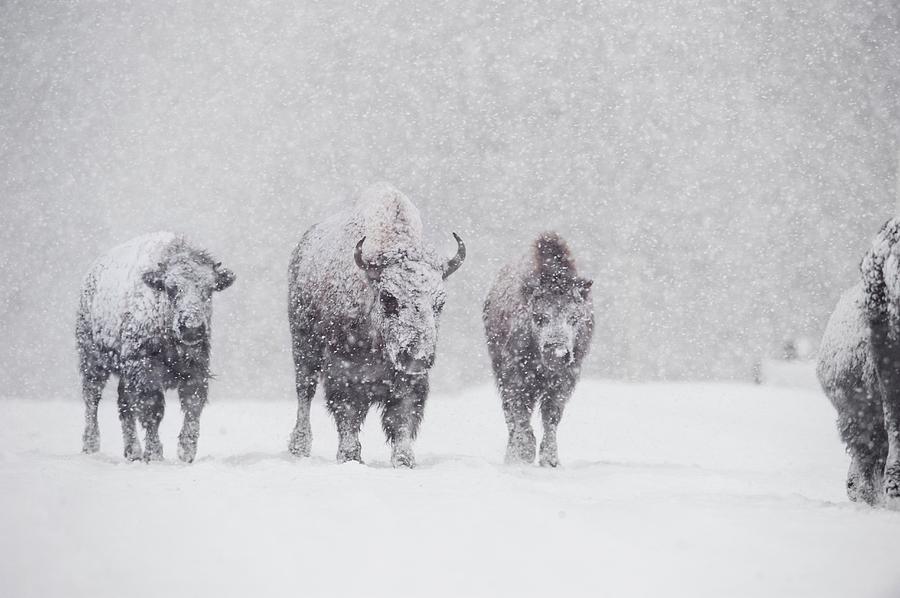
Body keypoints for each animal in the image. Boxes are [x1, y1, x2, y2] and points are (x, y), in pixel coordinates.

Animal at [76, 233, 236, 464]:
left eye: (209, 289)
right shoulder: (145, 370)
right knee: (92, 398)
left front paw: (186, 453)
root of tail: (91, 275)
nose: (191, 327)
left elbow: (192, 407)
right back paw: (91, 446)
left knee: (124, 405)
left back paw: (132, 452)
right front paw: (154, 454)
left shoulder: (196, 369)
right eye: (171, 288)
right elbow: (152, 410)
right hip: (93, 360)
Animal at [288, 183, 468, 468]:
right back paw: (299, 446)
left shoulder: (410, 381)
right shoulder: (343, 373)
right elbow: (348, 414)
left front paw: (404, 460)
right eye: (389, 297)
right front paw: (349, 457)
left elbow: (402, 418)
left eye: (440, 302)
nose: (416, 356)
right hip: (304, 345)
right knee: (304, 392)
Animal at [482, 233, 596, 468]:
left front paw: (550, 460)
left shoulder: (565, 380)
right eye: (539, 317)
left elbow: (551, 416)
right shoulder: (514, 376)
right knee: (510, 415)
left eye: (574, 317)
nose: (557, 353)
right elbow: (520, 413)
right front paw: (523, 454)